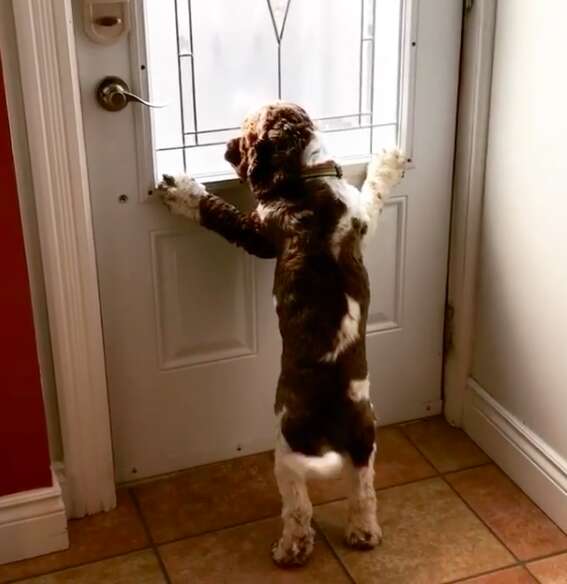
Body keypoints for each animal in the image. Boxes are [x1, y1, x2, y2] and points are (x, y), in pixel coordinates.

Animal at [159, 102, 408, 568]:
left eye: (245, 129)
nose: (227, 146)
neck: (308, 178)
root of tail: (333, 416)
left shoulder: (260, 233)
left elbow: (217, 211)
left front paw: (181, 189)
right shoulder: (360, 217)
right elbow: (373, 195)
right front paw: (390, 160)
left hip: (287, 447)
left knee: (298, 507)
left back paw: (291, 549)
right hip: (367, 438)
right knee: (363, 492)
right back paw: (364, 533)